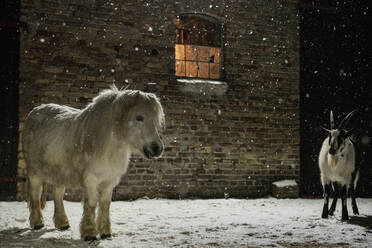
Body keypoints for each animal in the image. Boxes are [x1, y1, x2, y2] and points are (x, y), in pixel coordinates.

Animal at [22, 85, 164, 240]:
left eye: (156, 119)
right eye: (139, 117)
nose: (157, 149)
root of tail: (35, 111)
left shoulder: (109, 181)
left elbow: (105, 205)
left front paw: (105, 233)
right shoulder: (91, 179)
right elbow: (91, 203)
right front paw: (89, 233)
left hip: (60, 175)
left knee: (58, 196)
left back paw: (63, 224)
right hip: (34, 174)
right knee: (35, 196)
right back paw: (37, 223)